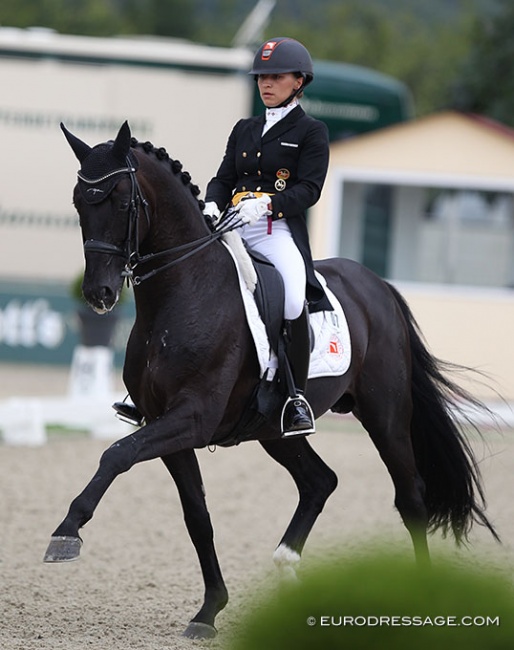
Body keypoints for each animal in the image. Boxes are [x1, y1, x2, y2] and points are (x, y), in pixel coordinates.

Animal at [45, 121, 496, 636]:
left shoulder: (192, 417)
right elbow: (197, 517)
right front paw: (209, 611)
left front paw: (67, 532)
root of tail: (376, 285)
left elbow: (116, 454)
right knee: (321, 482)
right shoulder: (166, 426)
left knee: (411, 498)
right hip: (274, 430)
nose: (98, 294)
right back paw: (287, 567)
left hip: (385, 414)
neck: (182, 292)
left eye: (121, 202)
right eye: (80, 203)